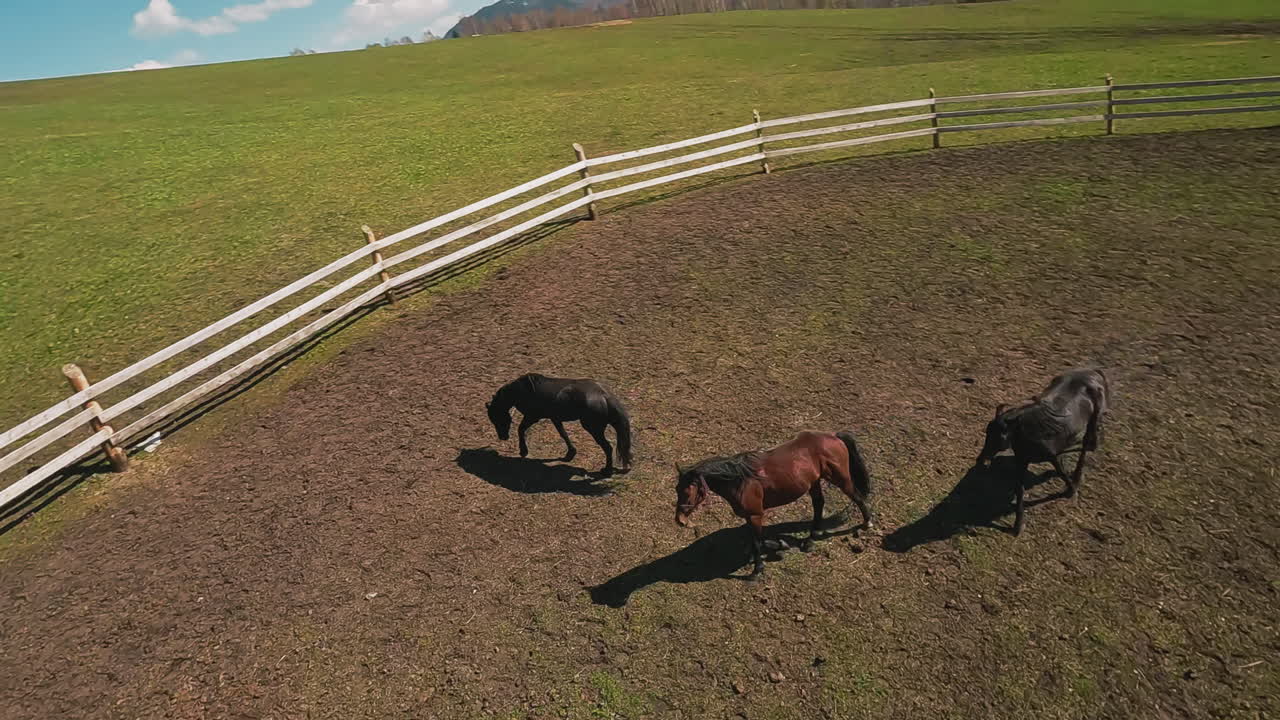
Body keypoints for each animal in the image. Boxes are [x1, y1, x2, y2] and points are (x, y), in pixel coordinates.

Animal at [485, 373, 633, 476]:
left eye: (496, 417)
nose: (502, 437)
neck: (523, 390)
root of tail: (604, 396)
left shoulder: (532, 417)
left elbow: (521, 429)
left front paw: (523, 451)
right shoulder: (555, 418)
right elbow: (563, 434)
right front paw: (570, 454)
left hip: (593, 429)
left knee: (608, 447)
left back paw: (606, 471)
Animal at [674, 430, 874, 579]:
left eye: (687, 492)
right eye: (676, 489)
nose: (679, 520)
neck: (740, 480)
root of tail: (834, 436)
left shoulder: (756, 515)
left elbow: (757, 542)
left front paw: (757, 569)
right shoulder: (750, 517)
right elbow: (758, 539)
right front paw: (778, 546)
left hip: (840, 478)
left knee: (857, 497)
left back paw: (867, 522)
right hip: (815, 482)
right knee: (819, 503)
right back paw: (810, 538)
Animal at [976, 368, 1111, 535]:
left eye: (1000, 436)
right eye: (987, 432)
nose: (980, 460)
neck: (1029, 433)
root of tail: (1094, 372)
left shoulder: (1051, 456)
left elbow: (1061, 472)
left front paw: (1071, 491)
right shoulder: (1022, 461)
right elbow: (1019, 490)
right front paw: (1018, 526)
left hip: (1093, 419)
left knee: (1088, 444)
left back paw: (1077, 476)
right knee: (1091, 444)